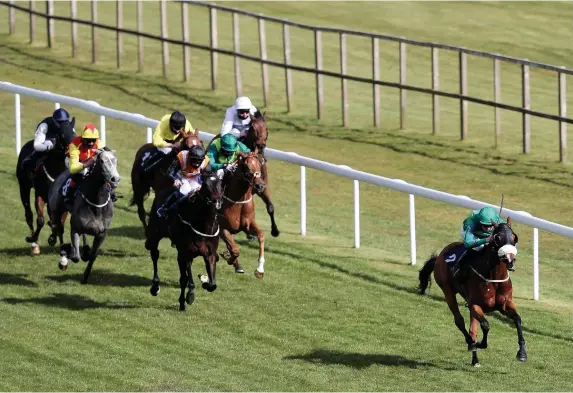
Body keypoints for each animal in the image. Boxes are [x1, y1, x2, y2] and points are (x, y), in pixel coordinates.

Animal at [15, 120, 75, 254]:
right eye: (62, 135)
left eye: (74, 134)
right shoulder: (40, 194)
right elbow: (41, 220)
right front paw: (33, 238)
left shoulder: (62, 200)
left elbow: (60, 222)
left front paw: (56, 240)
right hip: (23, 186)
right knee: (29, 214)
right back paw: (34, 244)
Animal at [48, 149, 120, 282]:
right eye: (101, 161)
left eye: (115, 160)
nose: (115, 179)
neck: (97, 203)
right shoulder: (75, 229)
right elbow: (75, 256)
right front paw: (66, 255)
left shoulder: (102, 234)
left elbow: (92, 256)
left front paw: (86, 275)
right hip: (56, 211)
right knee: (57, 228)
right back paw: (58, 246)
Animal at [144, 171, 222, 310]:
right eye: (205, 185)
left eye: (220, 184)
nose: (216, 201)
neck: (202, 226)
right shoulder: (185, 252)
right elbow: (187, 280)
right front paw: (189, 297)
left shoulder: (209, 254)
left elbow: (212, 284)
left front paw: (205, 281)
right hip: (155, 235)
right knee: (155, 254)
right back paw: (155, 287)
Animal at [416, 219, 524, 366]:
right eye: (497, 238)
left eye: (514, 238)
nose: (509, 259)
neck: (494, 279)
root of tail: (441, 254)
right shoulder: (475, 305)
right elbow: (486, 325)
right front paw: (478, 344)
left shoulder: (505, 305)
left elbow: (517, 320)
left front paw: (522, 353)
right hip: (448, 291)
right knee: (459, 321)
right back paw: (471, 344)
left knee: (472, 330)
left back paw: (475, 359)